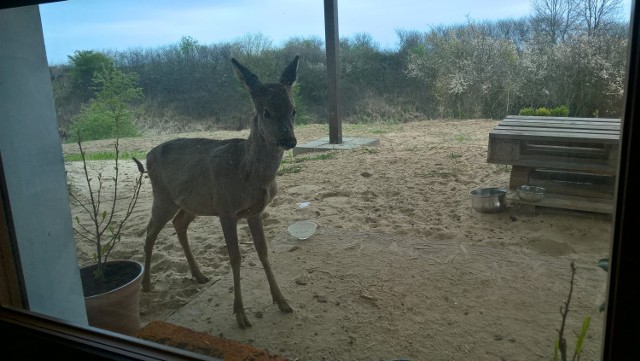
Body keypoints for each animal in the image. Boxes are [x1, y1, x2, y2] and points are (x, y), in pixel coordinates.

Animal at [135, 55, 300, 326]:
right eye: (266, 111)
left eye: (293, 110)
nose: (289, 140)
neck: (247, 171)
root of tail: (147, 155)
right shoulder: (226, 209)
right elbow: (235, 256)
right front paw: (241, 315)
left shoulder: (254, 211)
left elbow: (263, 252)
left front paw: (283, 302)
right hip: (163, 197)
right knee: (149, 231)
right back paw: (147, 284)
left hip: (192, 203)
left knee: (179, 224)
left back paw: (199, 275)